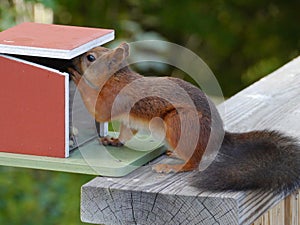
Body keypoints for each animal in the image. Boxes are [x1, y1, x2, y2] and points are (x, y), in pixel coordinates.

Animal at [68, 42, 300, 193]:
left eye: (90, 58)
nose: (75, 60)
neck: (115, 78)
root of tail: (217, 134)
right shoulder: (127, 118)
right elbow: (125, 133)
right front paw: (113, 140)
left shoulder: (115, 98)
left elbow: (99, 111)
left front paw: (76, 76)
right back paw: (173, 155)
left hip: (178, 123)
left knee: (194, 162)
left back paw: (173, 167)